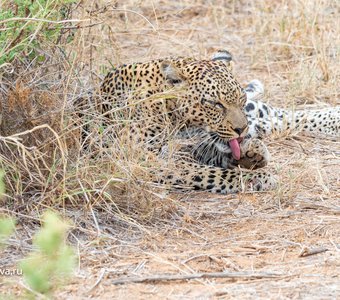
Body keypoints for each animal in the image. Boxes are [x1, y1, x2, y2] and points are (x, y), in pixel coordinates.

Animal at [99, 49, 340, 195]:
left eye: (239, 99)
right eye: (215, 104)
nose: (240, 129)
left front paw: (251, 157)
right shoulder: (150, 161)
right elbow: (212, 172)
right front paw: (256, 172)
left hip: (255, 113)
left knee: (276, 114)